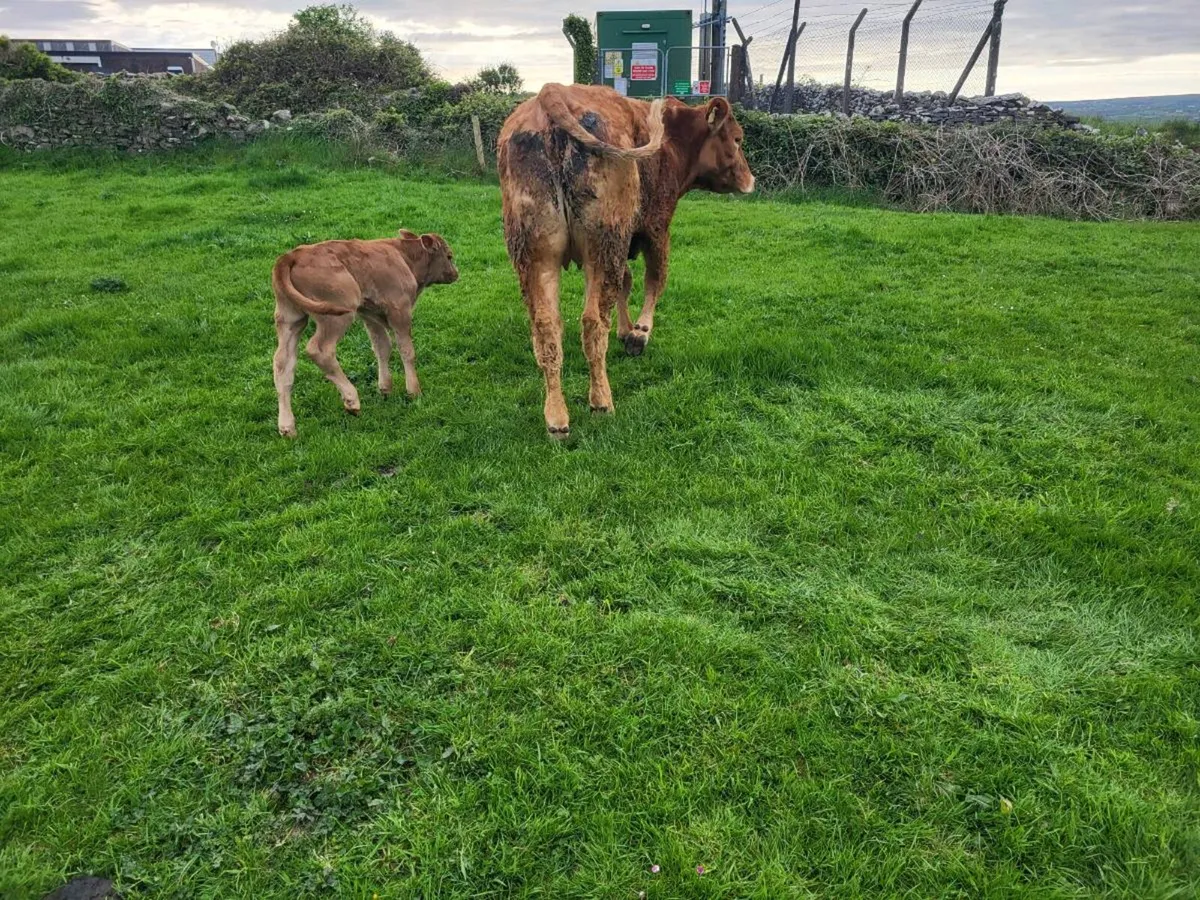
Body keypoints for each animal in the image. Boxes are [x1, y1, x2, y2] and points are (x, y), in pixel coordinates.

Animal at [270, 230, 459, 437]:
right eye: (449, 256)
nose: (455, 274)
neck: (404, 257)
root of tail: (292, 255)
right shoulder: (399, 310)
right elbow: (406, 350)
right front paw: (414, 391)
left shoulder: (370, 314)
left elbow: (382, 347)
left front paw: (385, 388)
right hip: (336, 315)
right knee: (319, 350)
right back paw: (352, 400)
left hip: (290, 319)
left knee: (283, 363)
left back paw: (287, 427)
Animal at [497, 83, 755, 439]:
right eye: (738, 138)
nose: (750, 180)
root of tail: (553, 91)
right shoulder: (656, 226)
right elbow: (654, 279)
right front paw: (638, 333)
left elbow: (625, 283)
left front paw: (625, 328)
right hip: (604, 244)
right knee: (592, 322)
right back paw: (601, 402)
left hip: (537, 256)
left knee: (547, 328)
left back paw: (557, 419)